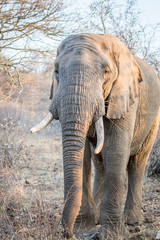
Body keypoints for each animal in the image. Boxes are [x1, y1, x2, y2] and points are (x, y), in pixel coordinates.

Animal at [30, 34, 160, 240]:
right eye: (56, 71)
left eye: (106, 72)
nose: (67, 233)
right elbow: (83, 156)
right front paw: (84, 229)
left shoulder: (125, 97)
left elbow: (115, 152)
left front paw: (111, 235)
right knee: (99, 162)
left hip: (153, 119)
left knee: (137, 162)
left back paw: (132, 221)